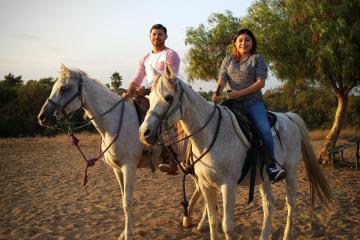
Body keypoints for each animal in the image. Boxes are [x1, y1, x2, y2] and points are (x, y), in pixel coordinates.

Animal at [37, 64, 194, 240]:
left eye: (64, 88)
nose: (42, 117)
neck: (114, 123)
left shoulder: (129, 168)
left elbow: (127, 202)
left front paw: (128, 234)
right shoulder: (117, 169)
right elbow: (123, 199)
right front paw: (124, 232)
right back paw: (188, 219)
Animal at [139, 64, 332, 239]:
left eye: (168, 97)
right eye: (149, 98)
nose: (144, 133)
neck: (209, 136)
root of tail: (289, 117)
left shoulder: (228, 186)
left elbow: (227, 227)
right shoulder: (205, 185)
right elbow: (213, 222)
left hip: (290, 172)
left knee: (291, 203)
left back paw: (287, 235)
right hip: (263, 178)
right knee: (269, 204)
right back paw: (264, 236)